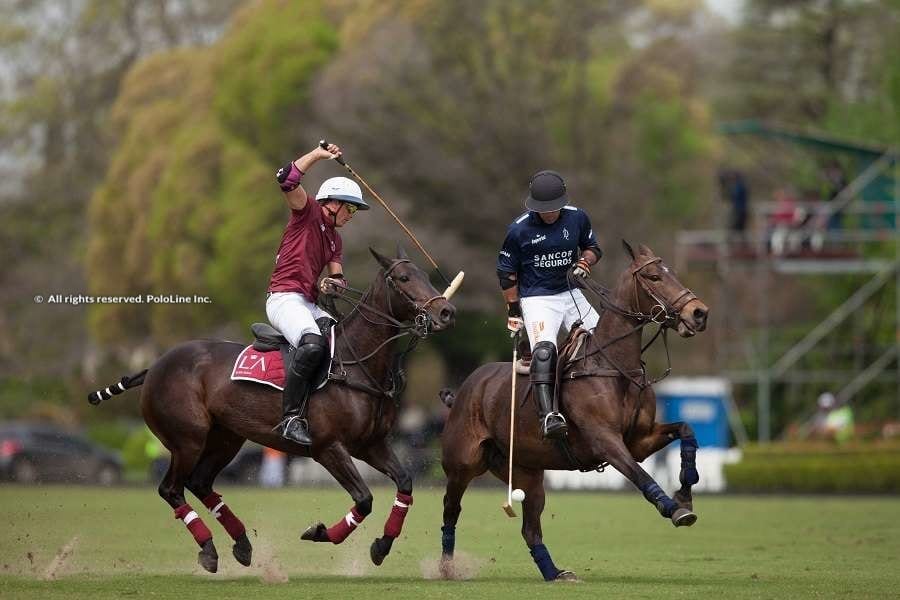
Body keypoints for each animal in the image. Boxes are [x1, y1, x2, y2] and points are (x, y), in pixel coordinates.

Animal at [88, 247, 454, 572]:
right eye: (404, 278)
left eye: (426, 275)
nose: (446, 312)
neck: (355, 365)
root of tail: (154, 367)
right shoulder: (327, 447)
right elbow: (364, 499)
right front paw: (320, 533)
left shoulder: (370, 445)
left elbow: (405, 482)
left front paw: (381, 545)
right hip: (187, 439)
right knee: (171, 489)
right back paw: (209, 550)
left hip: (226, 438)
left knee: (200, 483)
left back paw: (242, 544)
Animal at [442, 240, 712, 580]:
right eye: (653, 276)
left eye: (671, 272)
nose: (699, 313)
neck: (614, 366)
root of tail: (467, 387)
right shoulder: (605, 440)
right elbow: (640, 476)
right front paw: (674, 509)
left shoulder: (639, 441)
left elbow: (686, 430)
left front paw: (685, 494)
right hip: (461, 464)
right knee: (451, 510)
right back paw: (446, 567)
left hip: (526, 473)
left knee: (530, 528)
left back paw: (555, 573)